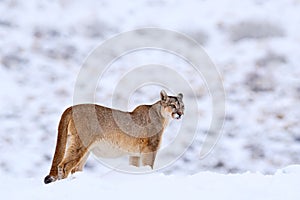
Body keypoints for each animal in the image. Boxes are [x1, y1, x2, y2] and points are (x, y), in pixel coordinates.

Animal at [44, 90, 184, 184]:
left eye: (182, 106)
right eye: (173, 105)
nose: (180, 114)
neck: (162, 118)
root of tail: (71, 107)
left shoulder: (135, 153)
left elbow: (134, 166)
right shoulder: (150, 149)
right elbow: (149, 166)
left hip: (81, 146)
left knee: (75, 168)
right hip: (80, 144)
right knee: (64, 166)